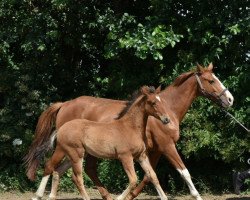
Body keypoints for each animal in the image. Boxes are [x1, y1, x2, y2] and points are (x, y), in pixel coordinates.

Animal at [34, 86, 170, 200]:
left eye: (162, 102)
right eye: (153, 103)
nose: (166, 119)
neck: (130, 127)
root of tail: (60, 129)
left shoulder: (141, 156)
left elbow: (153, 176)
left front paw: (164, 197)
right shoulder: (125, 156)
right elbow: (133, 180)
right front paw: (118, 198)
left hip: (73, 156)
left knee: (58, 171)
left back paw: (51, 196)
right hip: (71, 153)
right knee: (70, 175)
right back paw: (39, 195)